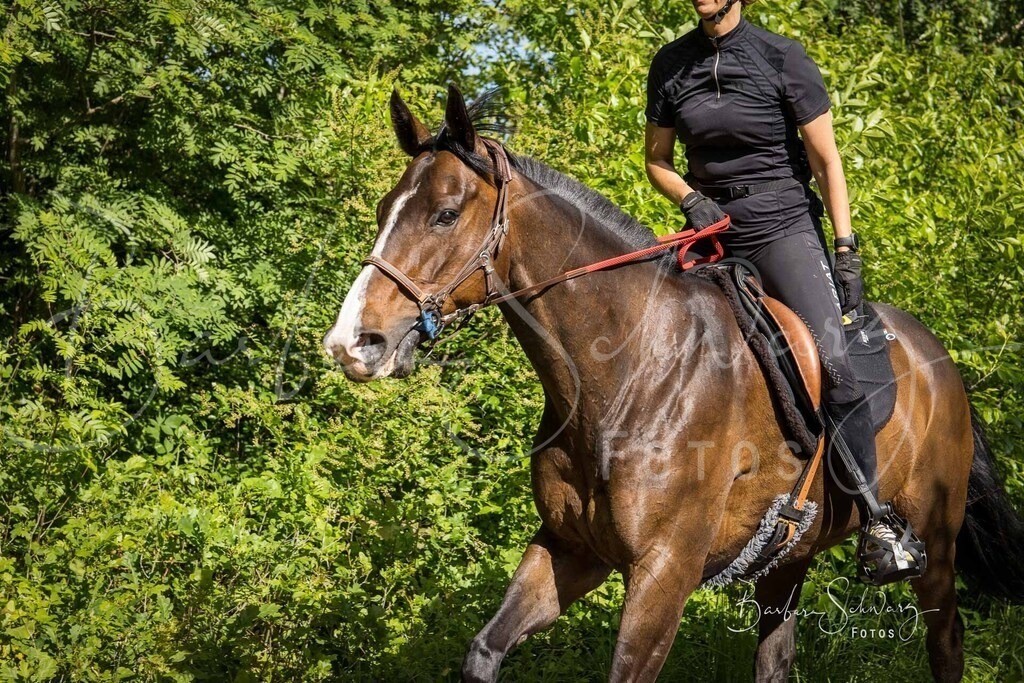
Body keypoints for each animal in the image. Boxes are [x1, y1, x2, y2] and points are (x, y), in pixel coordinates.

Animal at [323, 84, 1024, 682]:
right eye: (385, 211)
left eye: (444, 215)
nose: (354, 343)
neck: (627, 372)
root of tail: (939, 357)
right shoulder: (571, 549)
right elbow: (485, 651)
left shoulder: (665, 570)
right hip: (788, 557)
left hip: (934, 542)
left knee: (946, 643)